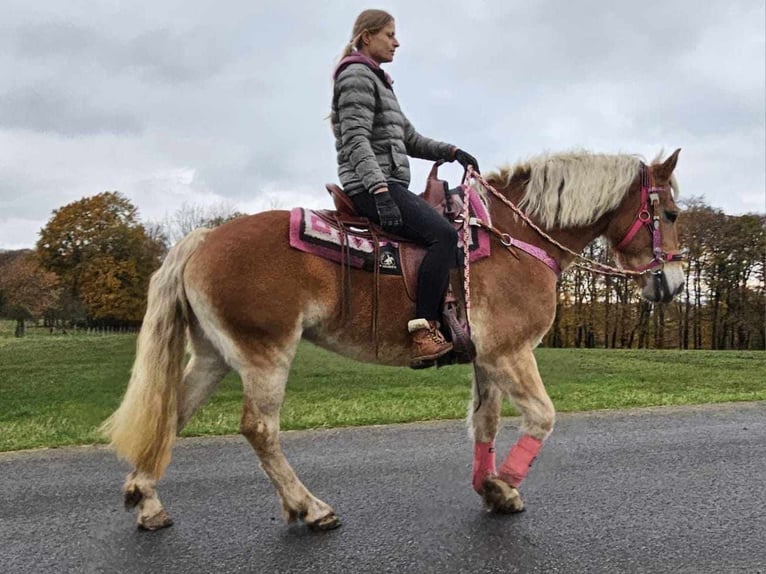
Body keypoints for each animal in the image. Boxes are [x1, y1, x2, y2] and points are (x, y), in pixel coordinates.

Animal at [100, 147, 684, 532]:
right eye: (672, 213)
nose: (674, 284)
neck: (513, 239)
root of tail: (201, 240)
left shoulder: (488, 359)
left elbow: (486, 423)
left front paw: (490, 488)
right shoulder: (511, 353)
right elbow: (542, 416)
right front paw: (504, 485)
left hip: (214, 356)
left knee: (174, 413)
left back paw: (147, 501)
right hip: (265, 354)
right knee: (259, 430)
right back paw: (310, 508)